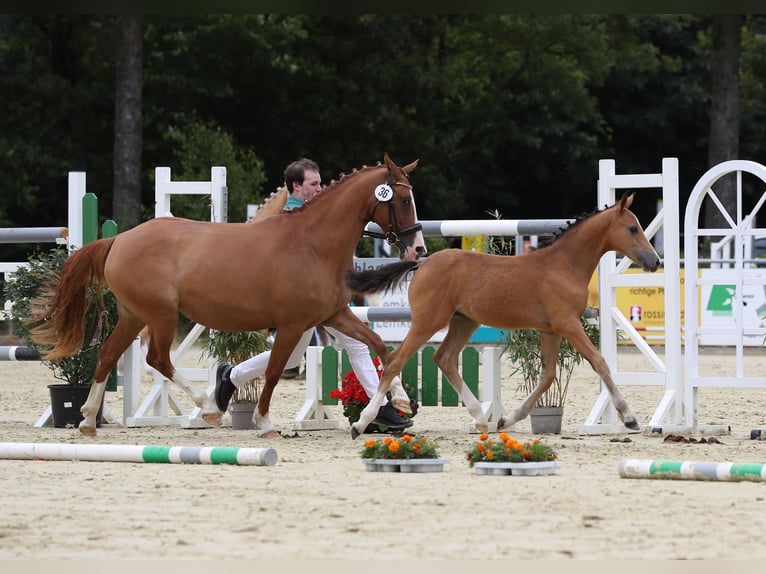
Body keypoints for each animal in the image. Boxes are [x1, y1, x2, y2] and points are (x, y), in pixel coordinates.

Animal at [28, 155, 426, 438]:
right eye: (404, 198)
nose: (418, 248)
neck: (313, 244)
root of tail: (120, 239)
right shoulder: (293, 324)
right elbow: (274, 369)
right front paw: (265, 423)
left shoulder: (332, 315)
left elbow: (378, 344)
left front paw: (399, 404)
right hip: (160, 316)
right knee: (158, 359)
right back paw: (207, 406)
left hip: (133, 315)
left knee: (108, 355)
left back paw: (87, 420)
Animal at [344, 194, 664, 440]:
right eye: (633, 228)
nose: (655, 261)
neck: (563, 265)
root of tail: (422, 263)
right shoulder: (568, 324)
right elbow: (599, 362)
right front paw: (629, 417)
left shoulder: (552, 330)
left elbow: (547, 376)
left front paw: (507, 419)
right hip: (428, 321)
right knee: (396, 360)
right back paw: (362, 423)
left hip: (463, 321)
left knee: (444, 358)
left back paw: (480, 419)